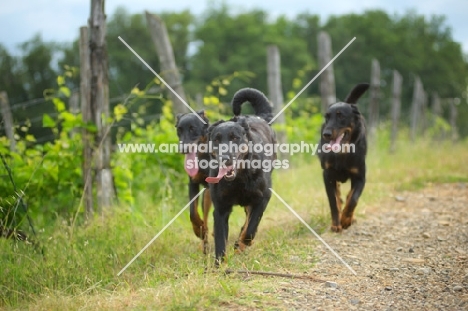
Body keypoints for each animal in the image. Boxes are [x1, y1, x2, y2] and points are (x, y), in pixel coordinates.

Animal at [176, 111, 212, 254]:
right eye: (179, 130)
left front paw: (201, 229)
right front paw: (198, 230)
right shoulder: (193, 183)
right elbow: (192, 212)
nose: (183, 149)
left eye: (193, 128)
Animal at [318, 84, 370, 233]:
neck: (342, 152)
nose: (326, 134)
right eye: (327, 117)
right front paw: (336, 224)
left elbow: (353, 199)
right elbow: (333, 202)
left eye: (341, 115)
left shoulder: (360, 176)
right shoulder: (328, 176)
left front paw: (346, 220)